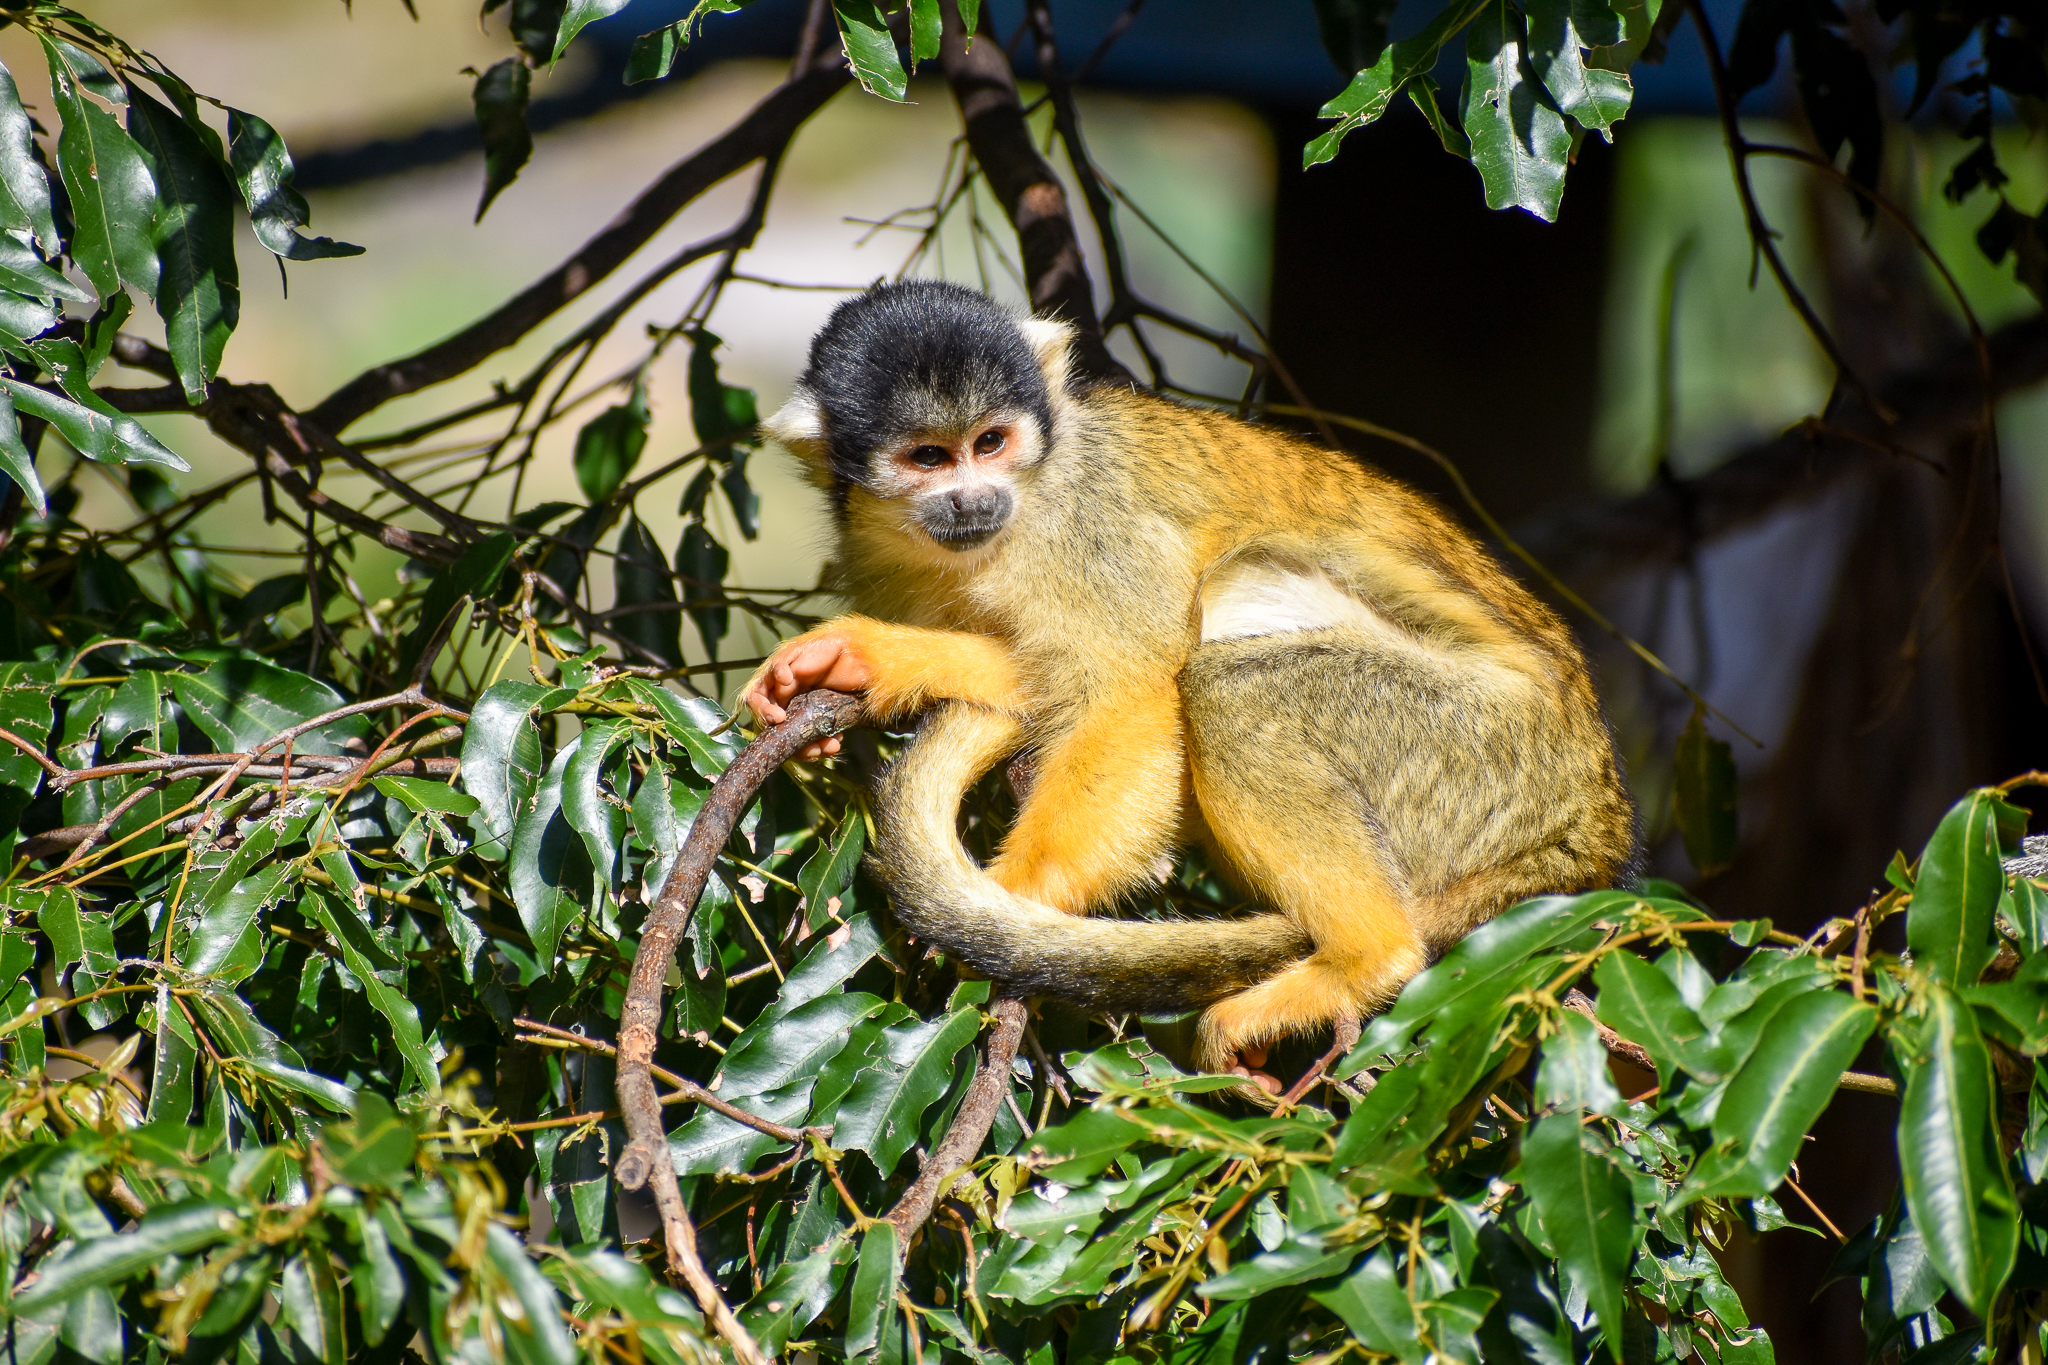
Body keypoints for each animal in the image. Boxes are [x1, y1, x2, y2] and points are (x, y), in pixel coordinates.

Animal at [743, 279, 1633, 1094]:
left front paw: (1006, 900)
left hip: (1480, 748)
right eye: (928, 458)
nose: (973, 497)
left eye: (990, 441)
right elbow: (1040, 676)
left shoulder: (1085, 519)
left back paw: (1363, 958)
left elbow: (1133, 686)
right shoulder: (880, 549)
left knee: (1232, 669)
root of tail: (1595, 815)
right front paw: (862, 659)